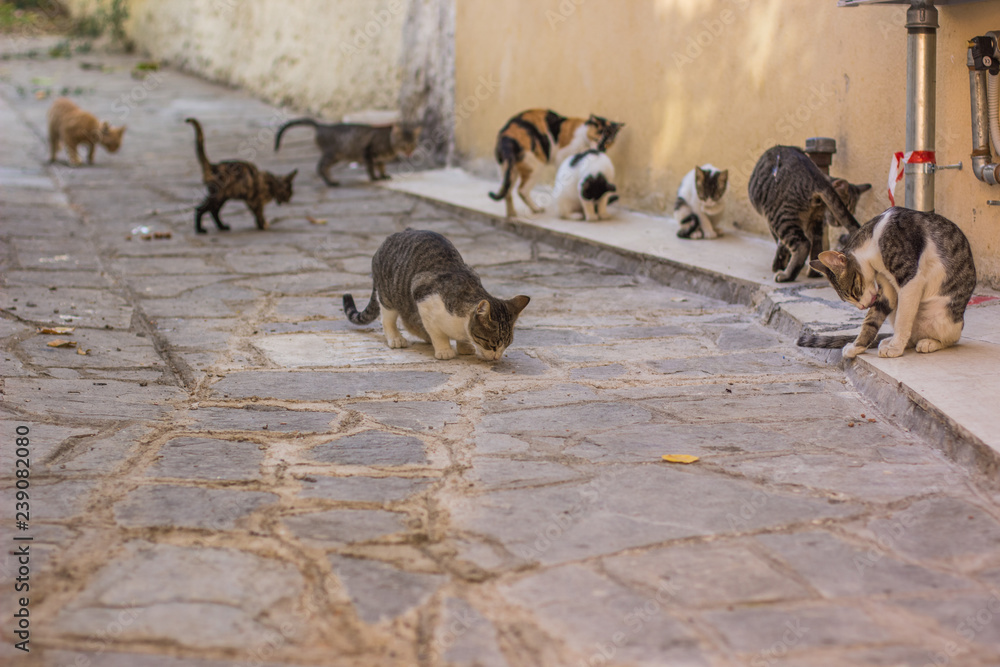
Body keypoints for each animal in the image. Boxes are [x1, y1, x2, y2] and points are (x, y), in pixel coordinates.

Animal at [272, 118, 420, 187]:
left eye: (413, 145)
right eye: (404, 145)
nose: (409, 152)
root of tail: (321, 126)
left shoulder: (380, 159)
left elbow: (381, 167)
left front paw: (383, 176)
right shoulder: (368, 152)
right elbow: (371, 169)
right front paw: (374, 178)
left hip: (336, 157)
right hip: (332, 155)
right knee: (320, 167)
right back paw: (331, 183)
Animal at [342, 231, 532, 366]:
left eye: (507, 344)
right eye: (492, 344)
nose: (496, 357)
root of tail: (389, 239)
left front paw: (465, 346)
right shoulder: (424, 300)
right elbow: (437, 333)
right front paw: (444, 350)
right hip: (389, 294)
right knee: (388, 318)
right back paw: (396, 338)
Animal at [486, 109, 620, 218]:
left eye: (608, 142)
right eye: (597, 138)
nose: (601, 149)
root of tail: (507, 138)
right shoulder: (562, 156)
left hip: (508, 170)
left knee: (507, 191)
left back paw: (511, 214)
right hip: (535, 166)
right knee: (522, 190)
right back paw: (536, 209)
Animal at [752, 146, 868, 282]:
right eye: (846, 206)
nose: (838, 224)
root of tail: (816, 177)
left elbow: (781, 245)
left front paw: (779, 264)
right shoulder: (820, 223)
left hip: (779, 216)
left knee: (803, 244)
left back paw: (787, 275)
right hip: (813, 219)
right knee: (815, 246)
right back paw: (813, 273)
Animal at [796, 209, 976, 360]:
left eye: (854, 291)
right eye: (846, 299)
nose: (861, 307)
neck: (872, 246)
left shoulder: (911, 280)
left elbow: (903, 321)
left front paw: (895, 348)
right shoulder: (887, 291)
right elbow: (871, 321)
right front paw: (856, 347)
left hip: (942, 317)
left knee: (951, 339)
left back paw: (929, 343)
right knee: (911, 334)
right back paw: (893, 340)